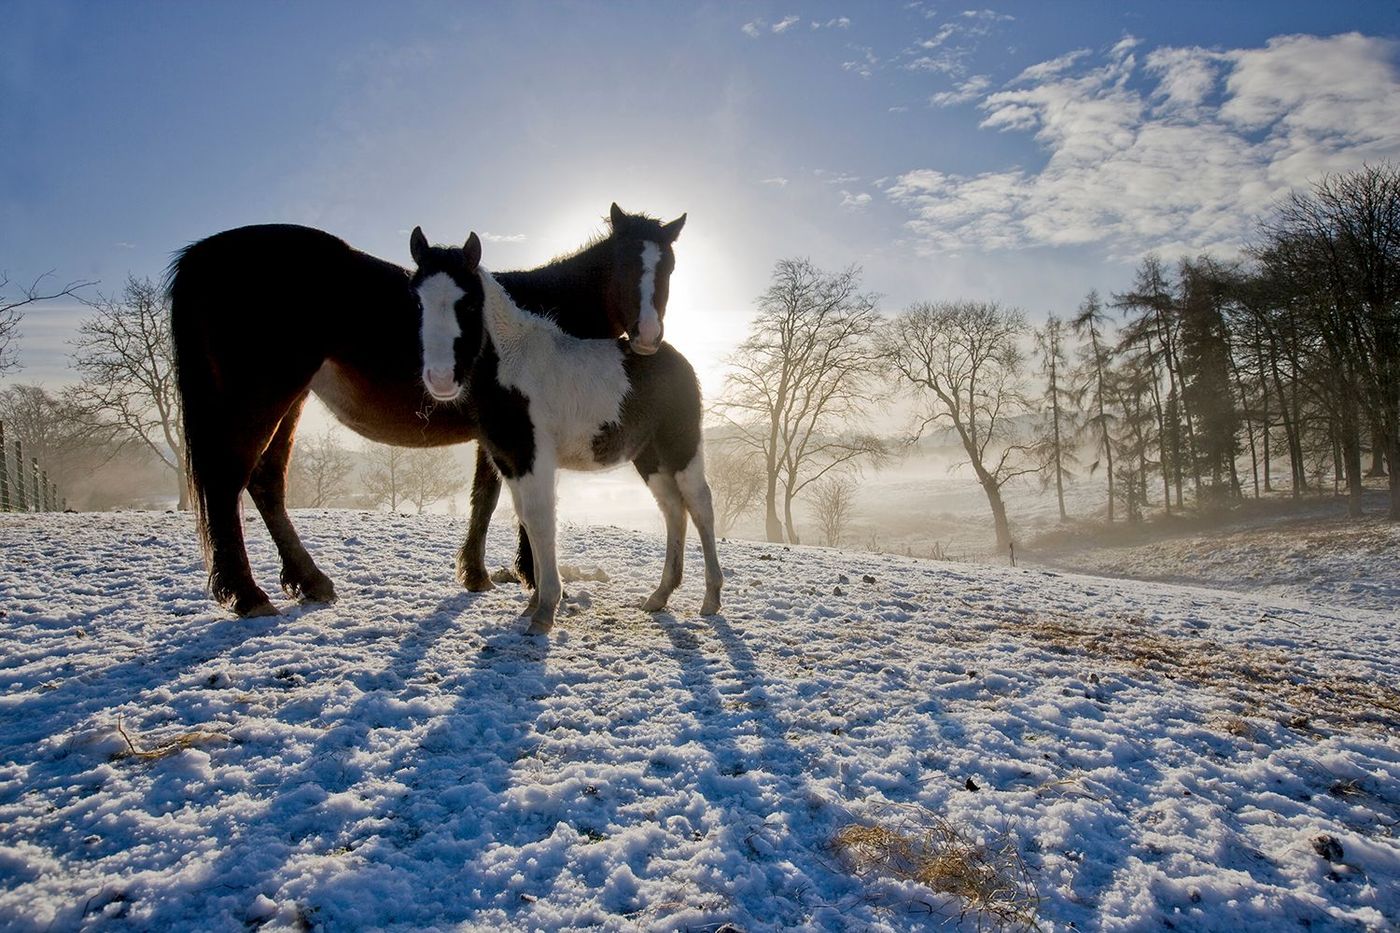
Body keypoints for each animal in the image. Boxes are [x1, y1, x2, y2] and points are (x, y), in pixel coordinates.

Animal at [168, 204, 685, 617]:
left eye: (669, 266)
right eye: (624, 261)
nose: (647, 336)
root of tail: (203, 255)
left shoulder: (500, 434)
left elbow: (484, 498)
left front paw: (478, 574)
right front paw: (530, 575)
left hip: (288, 402)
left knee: (266, 483)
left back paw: (308, 581)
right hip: (259, 401)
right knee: (227, 484)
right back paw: (248, 594)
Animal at [409, 229, 722, 635]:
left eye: (469, 304)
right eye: (418, 301)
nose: (441, 379)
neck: (512, 363)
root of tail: (675, 359)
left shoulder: (534, 458)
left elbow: (542, 521)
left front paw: (545, 610)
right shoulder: (510, 461)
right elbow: (527, 518)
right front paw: (533, 603)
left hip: (681, 447)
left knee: (700, 506)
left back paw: (711, 599)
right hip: (649, 456)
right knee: (672, 509)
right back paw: (660, 596)